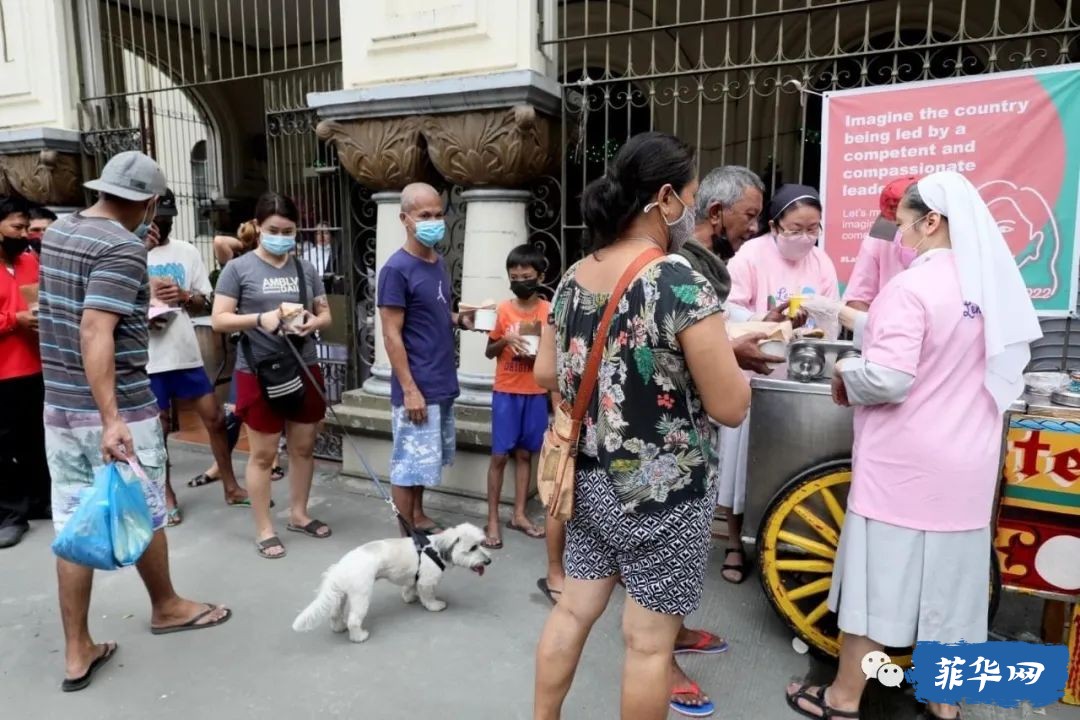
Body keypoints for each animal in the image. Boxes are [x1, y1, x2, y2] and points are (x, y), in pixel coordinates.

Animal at [287, 524, 490, 643]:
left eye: (482, 543)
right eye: (473, 548)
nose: (488, 561)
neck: (436, 550)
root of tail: (340, 567)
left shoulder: (413, 576)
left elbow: (410, 587)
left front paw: (409, 597)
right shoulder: (427, 581)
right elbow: (428, 596)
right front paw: (434, 605)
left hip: (341, 595)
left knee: (335, 613)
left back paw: (339, 628)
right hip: (361, 596)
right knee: (354, 620)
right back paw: (359, 636)